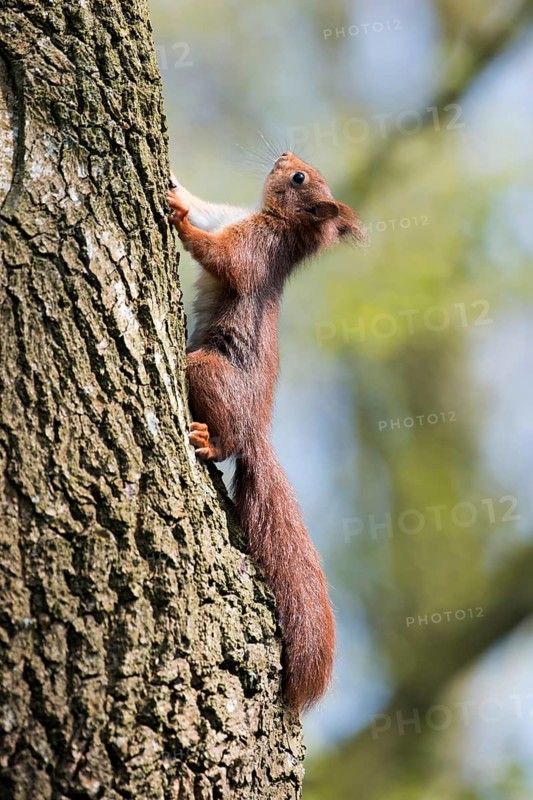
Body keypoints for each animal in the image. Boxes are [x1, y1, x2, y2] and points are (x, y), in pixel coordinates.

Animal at [167, 152, 363, 712]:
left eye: (299, 179)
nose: (285, 157)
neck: (269, 217)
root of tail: (257, 431)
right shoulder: (228, 216)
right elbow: (203, 206)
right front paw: (174, 186)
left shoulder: (256, 250)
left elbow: (223, 257)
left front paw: (178, 219)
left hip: (207, 372)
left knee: (226, 441)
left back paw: (209, 440)